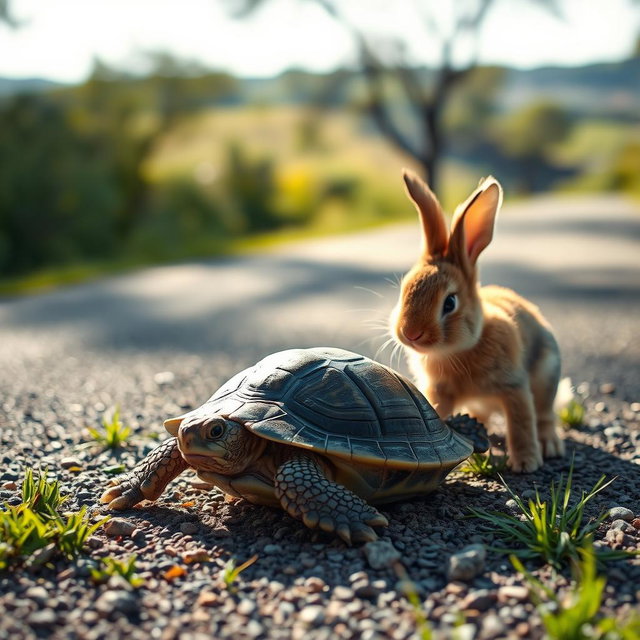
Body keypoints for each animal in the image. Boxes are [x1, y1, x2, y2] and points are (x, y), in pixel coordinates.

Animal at [390, 170, 564, 472]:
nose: (410, 333)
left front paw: (526, 463)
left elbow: (521, 424)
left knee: (544, 416)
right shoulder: (440, 392)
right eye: (404, 290)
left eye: (450, 302)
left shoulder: (514, 386)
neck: (457, 351)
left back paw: (549, 446)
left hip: (546, 378)